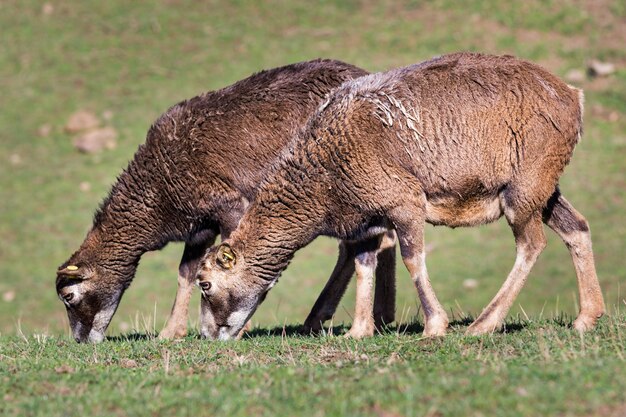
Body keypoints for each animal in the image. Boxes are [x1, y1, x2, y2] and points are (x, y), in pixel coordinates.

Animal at [56, 58, 398, 342]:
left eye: (69, 297)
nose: (80, 341)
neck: (157, 192)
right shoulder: (200, 226)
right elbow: (186, 272)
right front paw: (171, 332)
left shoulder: (231, 206)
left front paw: (238, 327)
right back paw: (368, 317)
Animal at [196, 51, 604, 338]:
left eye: (206, 284)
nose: (208, 334)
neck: (324, 172)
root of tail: (573, 97)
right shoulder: (365, 222)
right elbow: (364, 264)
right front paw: (359, 331)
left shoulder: (404, 202)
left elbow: (412, 258)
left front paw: (435, 326)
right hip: (544, 188)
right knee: (577, 227)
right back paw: (587, 317)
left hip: (523, 189)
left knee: (531, 244)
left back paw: (484, 324)